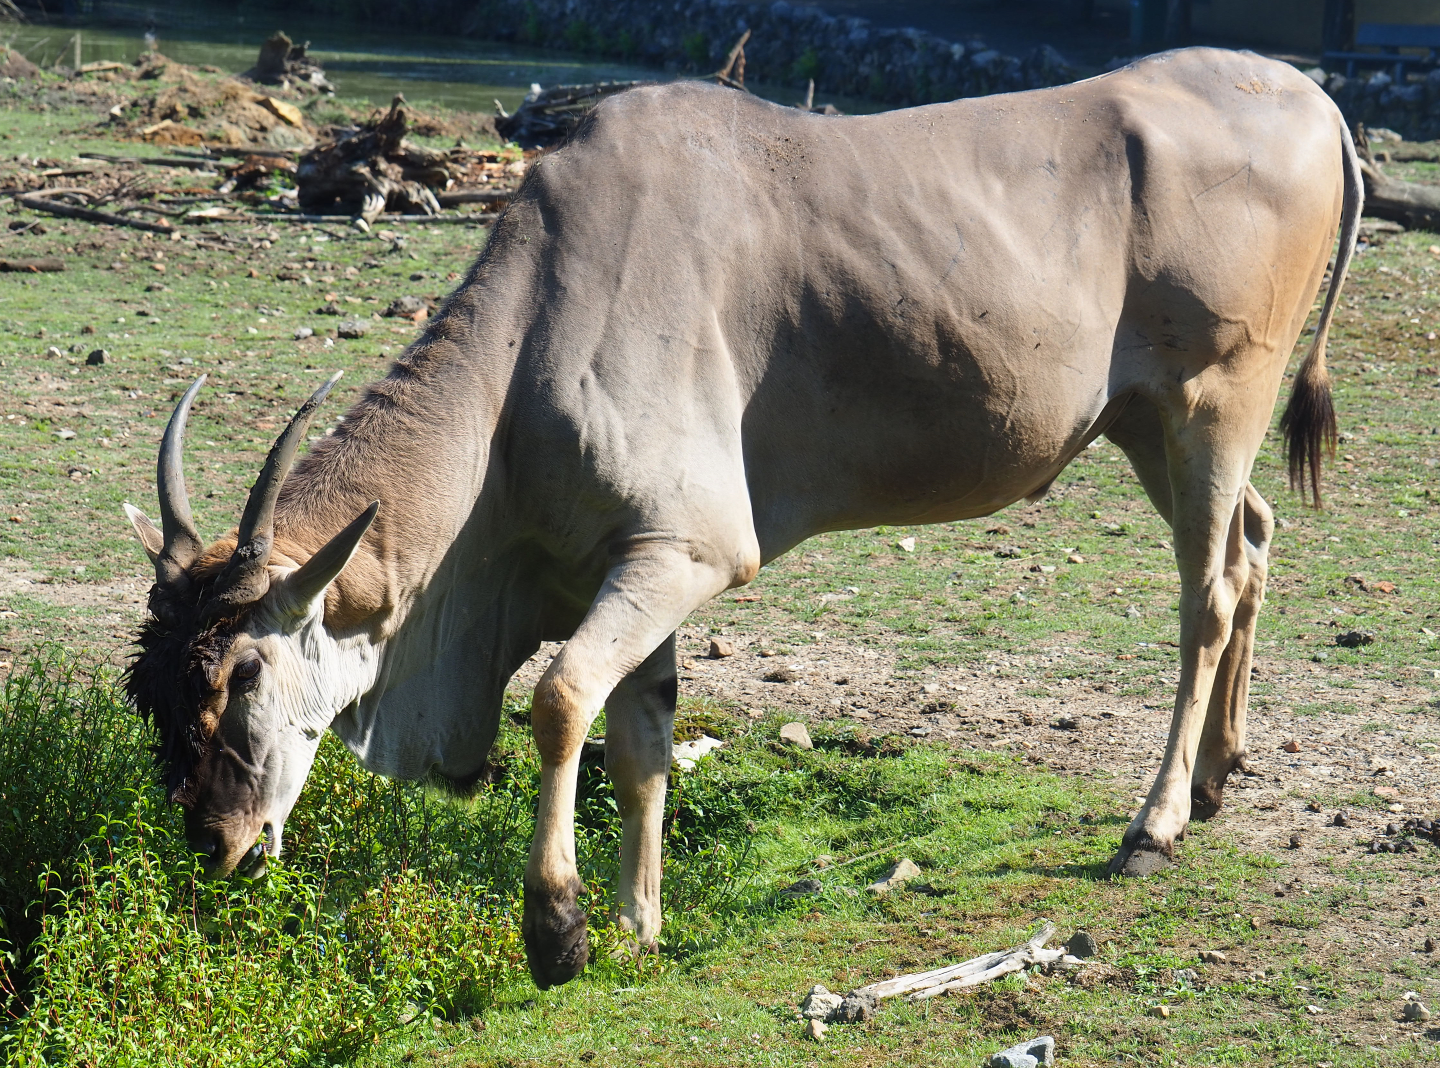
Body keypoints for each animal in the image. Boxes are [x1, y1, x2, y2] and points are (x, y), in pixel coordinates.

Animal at [122, 47, 1359, 990]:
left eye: (243, 673)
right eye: (152, 692)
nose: (214, 840)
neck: (533, 331)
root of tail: (1316, 102)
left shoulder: (690, 554)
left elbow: (563, 701)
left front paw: (560, 931)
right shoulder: (629, 566)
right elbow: (640, 740)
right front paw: (638, 928)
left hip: (1212, 406)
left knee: (1207, 595)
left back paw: (1153, 826)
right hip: (1150, 429)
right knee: (1254, 545)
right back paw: (1215, 777)